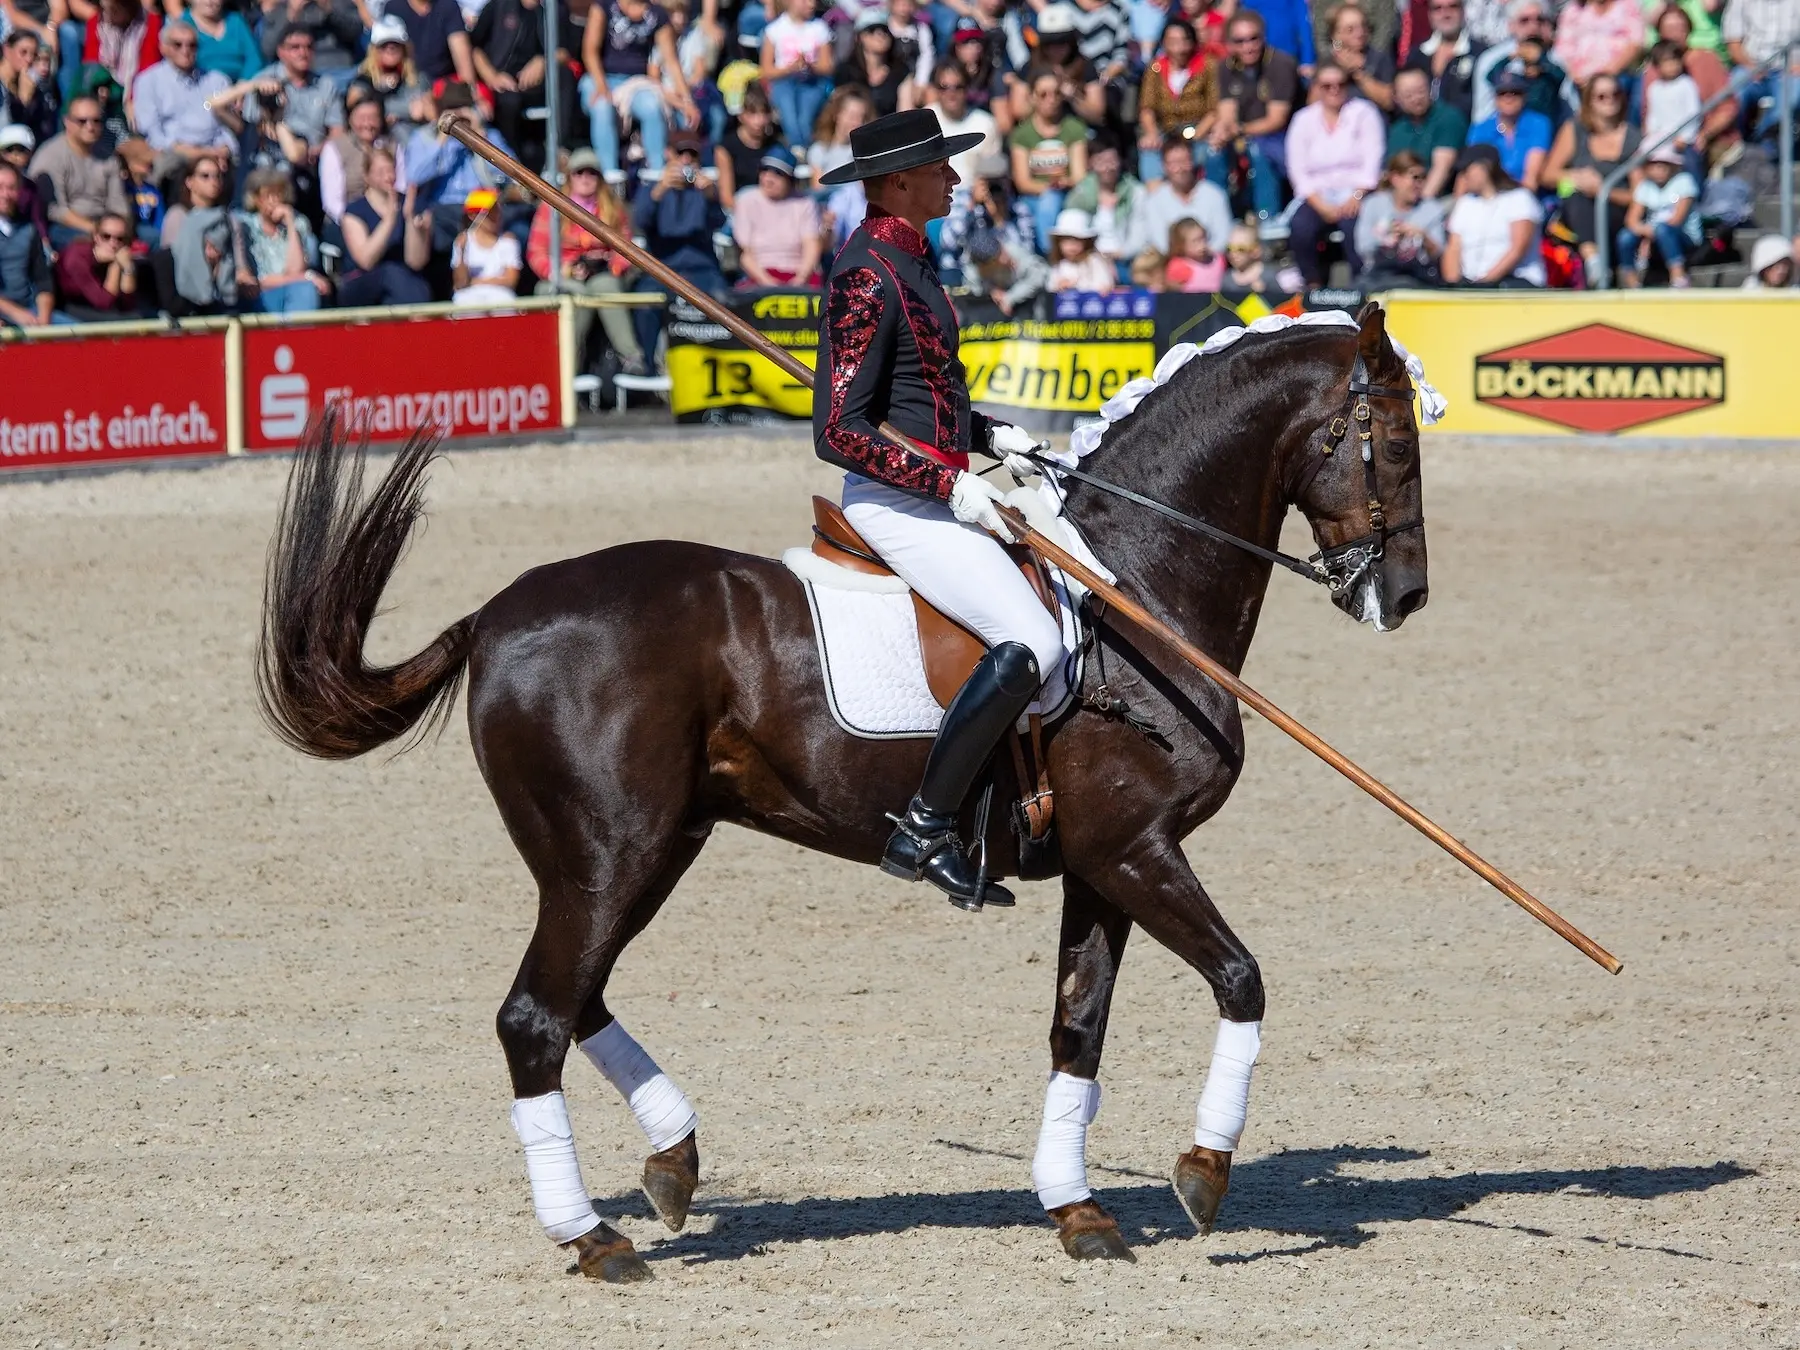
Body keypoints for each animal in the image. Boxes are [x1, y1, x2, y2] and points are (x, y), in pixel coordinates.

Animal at [256, 301, 1429, 1280]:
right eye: (1396, 439)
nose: (1406, 595)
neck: (1131, 586)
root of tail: (494, 616)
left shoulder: (1101, 864)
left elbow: (1078, 1029)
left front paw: (1078, 1209)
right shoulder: (1136, 849)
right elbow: (1242, 980)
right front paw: (1203, 1172)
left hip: (642, 849)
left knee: (574, 996)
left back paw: (674, 1161)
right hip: (610, 855)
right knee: (534, 1017)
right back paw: (593, 1237)